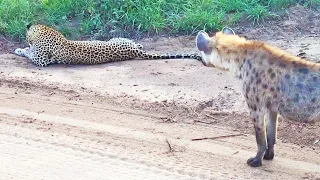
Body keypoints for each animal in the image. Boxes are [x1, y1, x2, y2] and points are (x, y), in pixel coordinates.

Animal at [196, 26, 318, 167]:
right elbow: (271, 135)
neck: (239, 61)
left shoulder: (255, 105)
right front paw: (268, 156)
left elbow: (260, 137)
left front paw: (255, 161)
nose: (201, 61)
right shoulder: (272, 107)